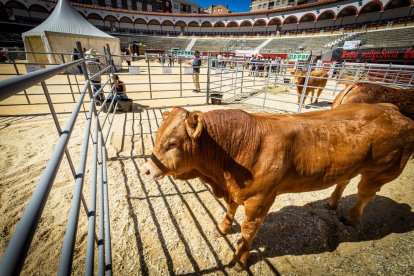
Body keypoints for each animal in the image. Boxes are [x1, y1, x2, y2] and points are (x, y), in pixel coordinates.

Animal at [142, 103, 414, 270]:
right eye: (157, 136)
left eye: (173, 143)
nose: (147, 169)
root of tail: (391, 109)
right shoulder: (234, 190)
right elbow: (230, 207)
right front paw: (223, 226)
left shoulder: (260, 199)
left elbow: (248, 231)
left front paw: (240, 259)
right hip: (350, 166)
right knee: (344, 181)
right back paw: (332, 202)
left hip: (380, 171)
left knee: (365, 194)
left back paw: (351, 217)